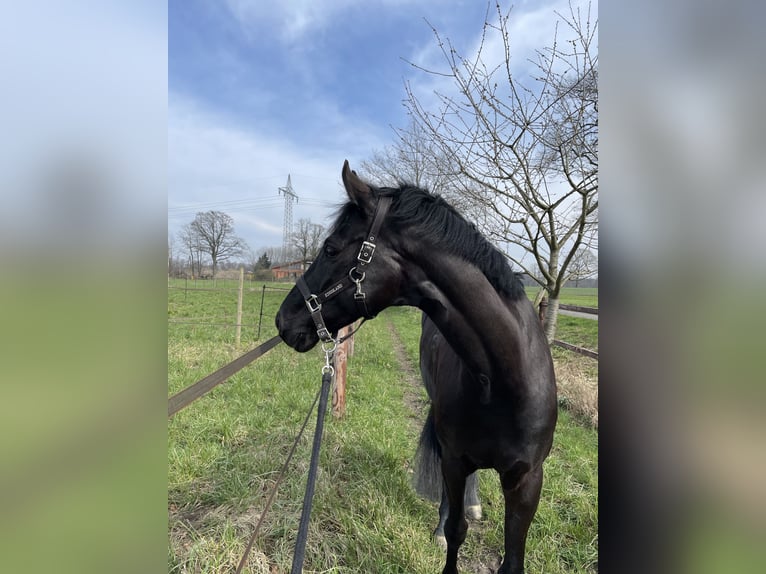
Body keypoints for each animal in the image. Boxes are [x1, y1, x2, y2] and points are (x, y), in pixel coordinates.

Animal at [276, 160, 560, 572]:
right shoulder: (456, 460)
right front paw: (445, 531)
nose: (283, 321)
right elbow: (456, 530)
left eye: (331, 248)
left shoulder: (527, 480)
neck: (502, 382)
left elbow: (512, 560)